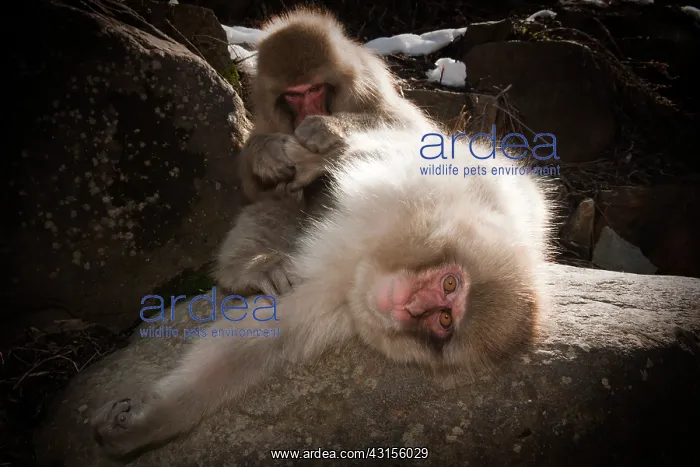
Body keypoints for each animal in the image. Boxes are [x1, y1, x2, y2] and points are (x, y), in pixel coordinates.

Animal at [91, 121, 553, 459]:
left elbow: (262, 339)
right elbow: (381, 156)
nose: (411, 307)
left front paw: (151, 422)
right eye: (450, 283)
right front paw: (318, 157)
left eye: (443, 321)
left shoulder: (342, 301)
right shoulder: (434, 186)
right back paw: (253, 259)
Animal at [217, 7, 436, 297]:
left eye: (314, 89)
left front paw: (324, 129)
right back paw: (259, 267)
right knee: (276, 201)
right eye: (293, 95)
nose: (309, 112)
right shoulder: (269, 115)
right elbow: (254, 188)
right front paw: (266, 153)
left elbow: (414, 131)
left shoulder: (367, 87)